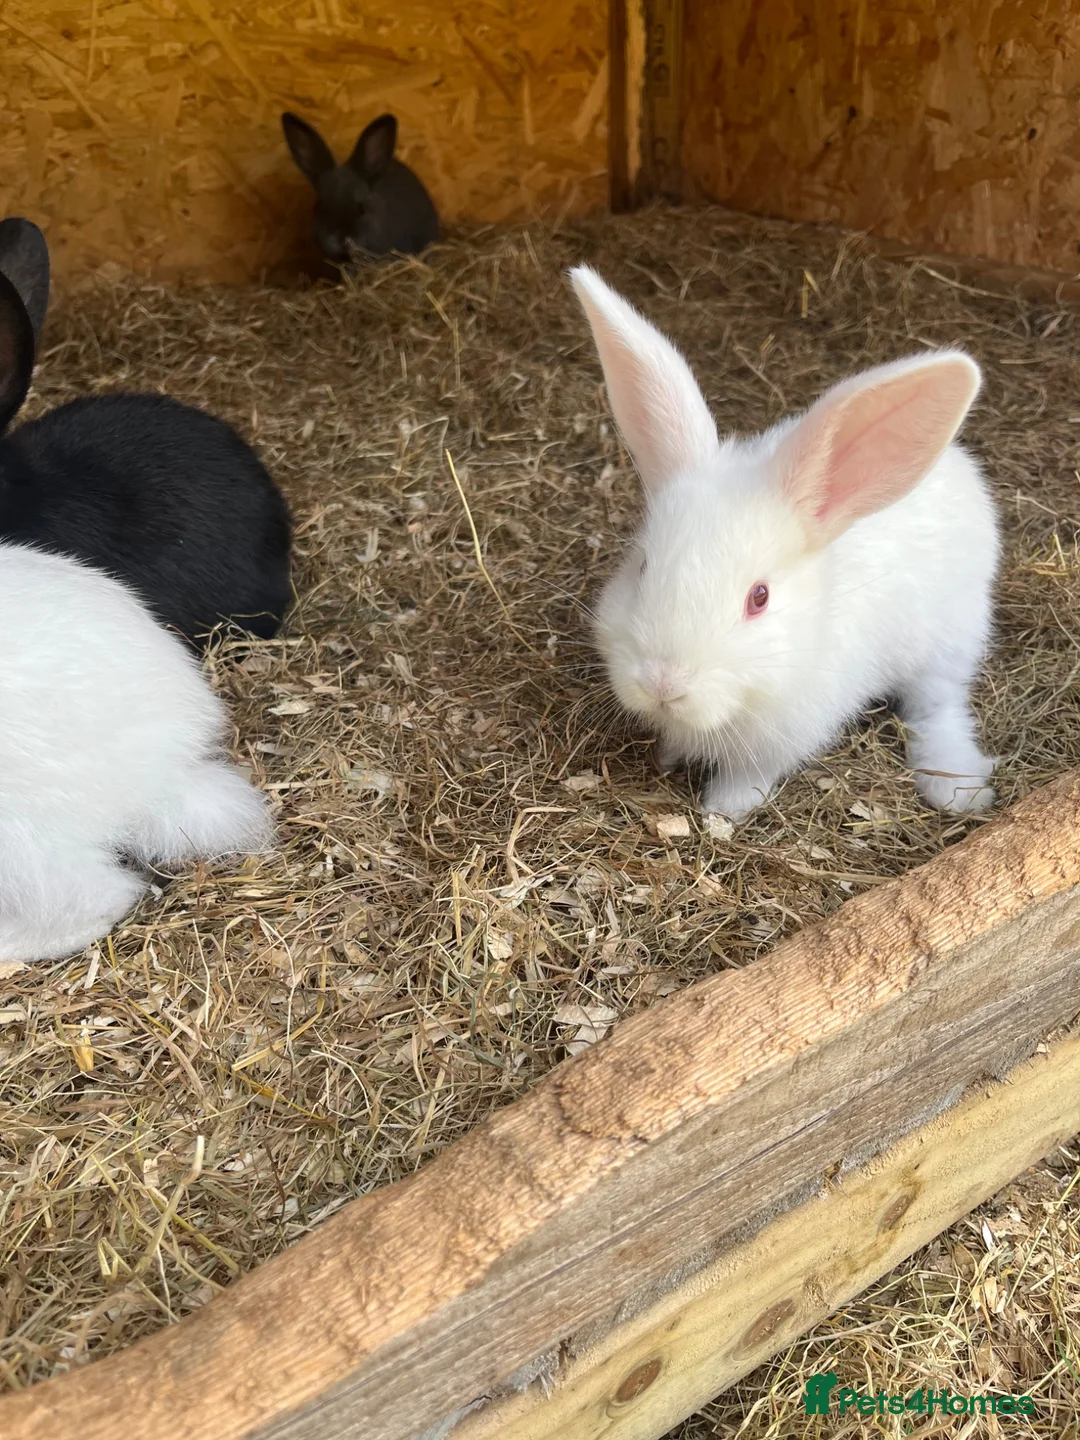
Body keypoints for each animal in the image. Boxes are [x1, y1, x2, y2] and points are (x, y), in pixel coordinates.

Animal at [570, 266, 1000, 821]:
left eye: (760, 598)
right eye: (642, 569)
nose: (664, 684)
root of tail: (955, 461)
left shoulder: (779, 741)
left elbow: (747, 779)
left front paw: (721, 814)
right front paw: (668, 758)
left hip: (947, 642)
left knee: (938, 707)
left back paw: (956, 786)